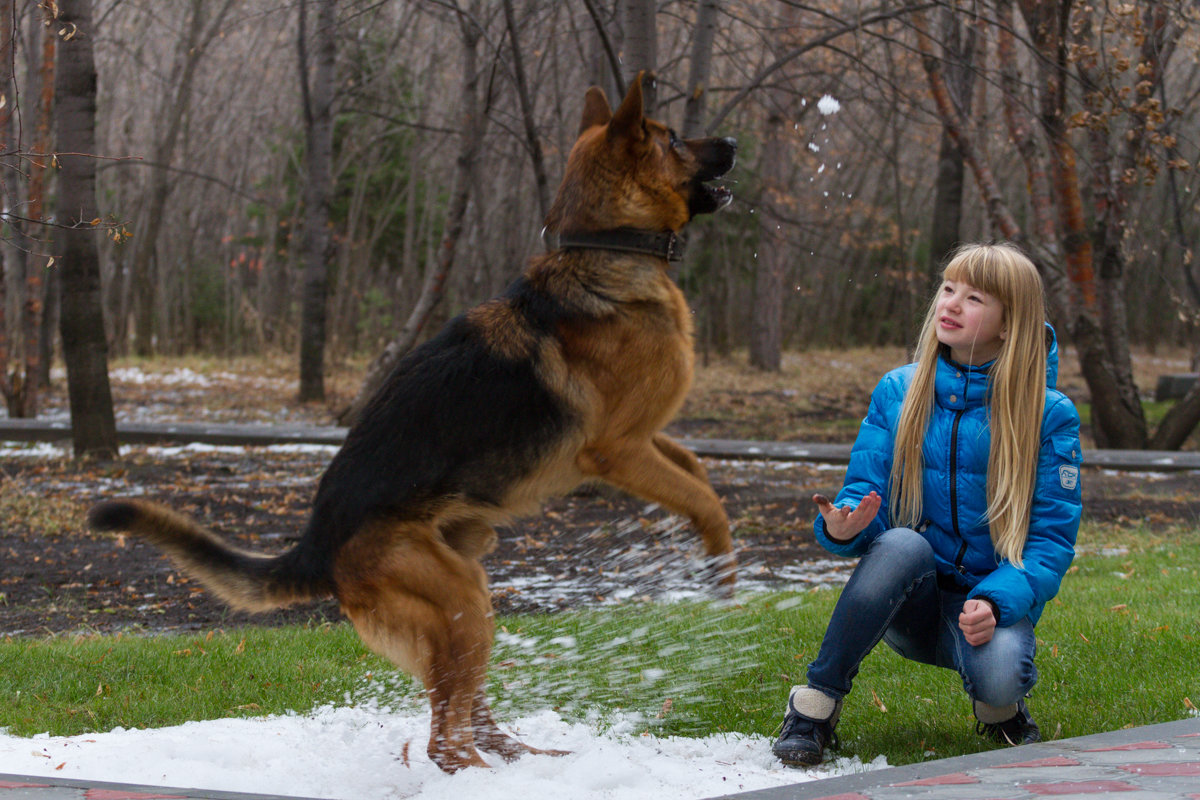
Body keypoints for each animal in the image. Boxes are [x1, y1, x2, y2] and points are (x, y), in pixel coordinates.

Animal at [88, 74, 734, 777]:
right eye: (673, 139)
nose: (732, 142)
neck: (605, 251)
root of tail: (318, 543)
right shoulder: (618, 450)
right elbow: (706, 500)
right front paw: (726, 577)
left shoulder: (641, 440)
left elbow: (694, 467)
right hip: (462, 600)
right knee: (443, 740)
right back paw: (486, 778)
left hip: (464, 592)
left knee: (463, 715)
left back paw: (527, 757)